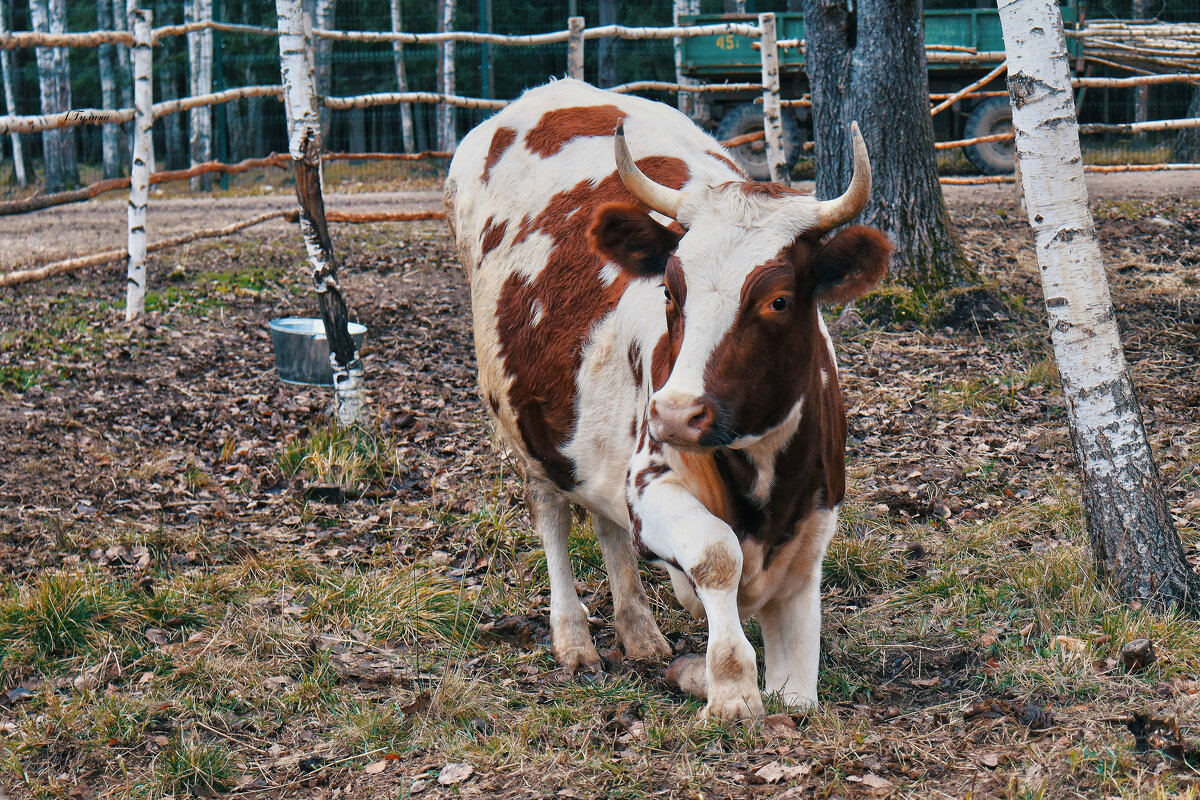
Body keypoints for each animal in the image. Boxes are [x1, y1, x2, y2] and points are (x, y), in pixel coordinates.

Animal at [444, 77, 892, 724]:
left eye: (779, 300)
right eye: (670, 291)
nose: (676, 414)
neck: (763, 478)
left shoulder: (813, 518)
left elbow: (800, 679)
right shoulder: (652, 479)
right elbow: (716, 554)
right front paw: (728, 686)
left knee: (607, 525)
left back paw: (639, 632)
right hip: (524, 427)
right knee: (552, 512)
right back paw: (574, 639)